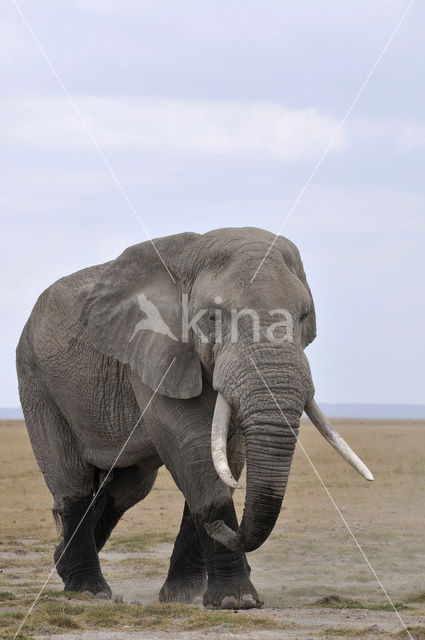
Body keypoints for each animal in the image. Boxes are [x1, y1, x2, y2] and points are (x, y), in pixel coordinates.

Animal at [15, 228, 372, 608]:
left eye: (304, 317)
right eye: (213, 318)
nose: (224, 529)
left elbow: (228, 454)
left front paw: (184, 596)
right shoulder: (156, 348)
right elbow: (193, 448)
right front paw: (236, 600)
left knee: (127, 489)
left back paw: (62, 564)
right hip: (37, 379)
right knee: (73, 482)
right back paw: (88, 591)